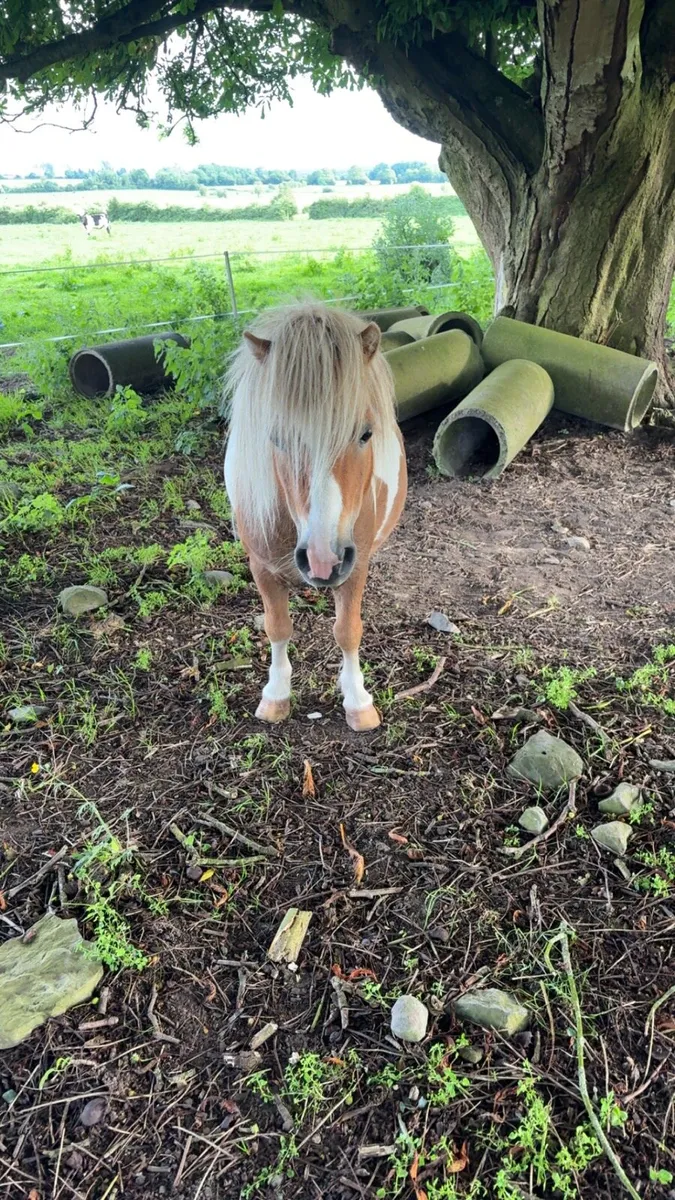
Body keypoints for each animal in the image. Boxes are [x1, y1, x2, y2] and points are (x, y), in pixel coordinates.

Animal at [225, 302, 407, 732]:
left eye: (365, 433)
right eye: (276, 438)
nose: (324, 560)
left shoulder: (356, 566)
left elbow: (348, 631)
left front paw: (357, 701)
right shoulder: (261, 566)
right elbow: (277, 627)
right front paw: (276, 696)